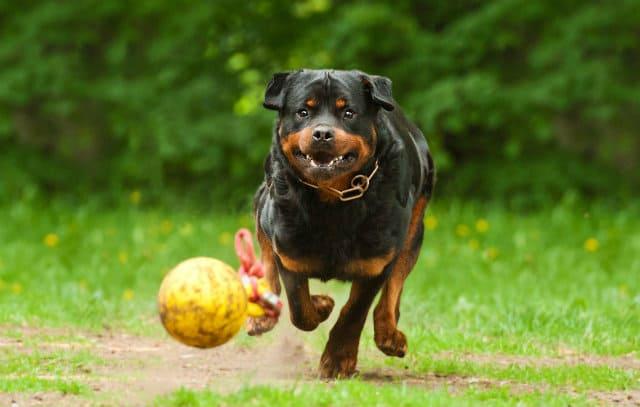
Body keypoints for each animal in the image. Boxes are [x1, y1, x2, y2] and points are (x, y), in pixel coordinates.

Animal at [250, 68, 436, 378]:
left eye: (348, 112)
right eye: (303, 112)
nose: (323, 133)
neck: (332, 197)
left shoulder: (376, 262)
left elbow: (354, 312)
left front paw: (338, 361)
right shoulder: (288, 251)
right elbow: (300, 309)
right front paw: (322, 305)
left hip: (415, 229)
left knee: (394, 288)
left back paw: (389, 335)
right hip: (264, 201)